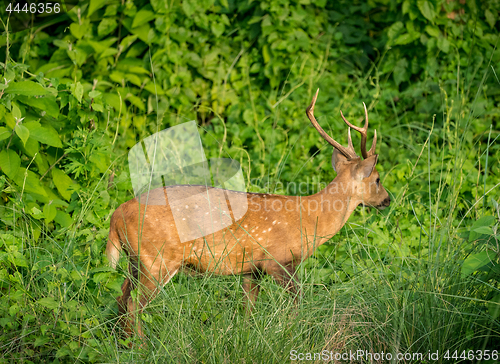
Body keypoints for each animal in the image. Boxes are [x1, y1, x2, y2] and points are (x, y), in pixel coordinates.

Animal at [107, 88, 392, 342]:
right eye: (377, 179)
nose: (387, 199)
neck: (311, 219)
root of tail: (116, 215)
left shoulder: (250, 269)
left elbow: (247, 311)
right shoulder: (276, 259)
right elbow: (297, 302)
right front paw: (294, 334)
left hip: (137, 260)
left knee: (121, 296)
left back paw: (123, 343)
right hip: (158, 259)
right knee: (134, 304)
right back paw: (141, 345)